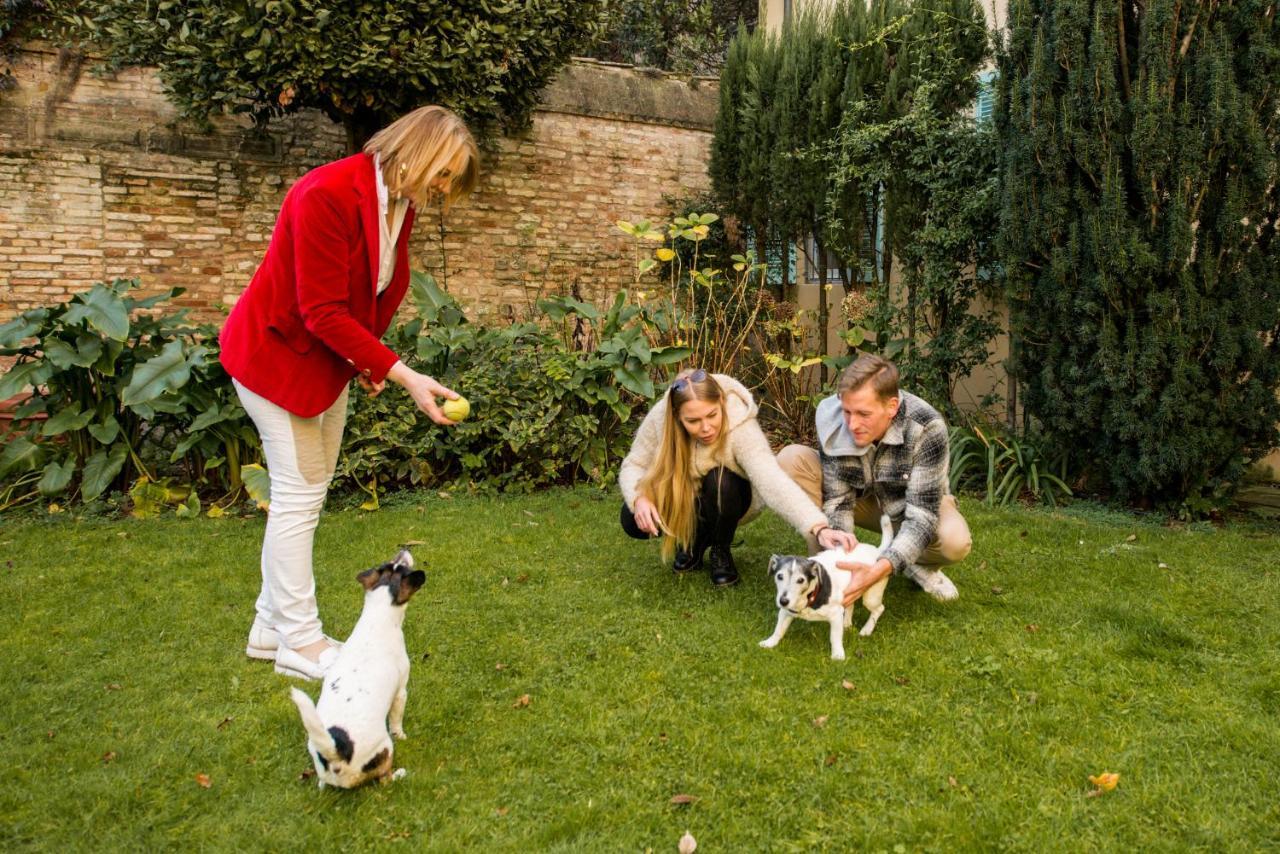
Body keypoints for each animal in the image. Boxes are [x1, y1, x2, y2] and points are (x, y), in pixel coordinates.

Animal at [290, 550, 424, 793]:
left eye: (391, 562)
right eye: (403, 566)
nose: (403, 549)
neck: (377, 618)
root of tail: (337, 753)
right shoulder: (401, 691)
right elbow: (397, 721)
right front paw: (402, 735)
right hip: (385, 749)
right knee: (384, 778)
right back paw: (399, 774)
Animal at [757, 514, 890, 660]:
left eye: (801, 580)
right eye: (779, 576)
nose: (783, 601)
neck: (809, 597)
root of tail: (877, 551)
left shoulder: (835, 614)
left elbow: (835, 637)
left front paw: (837, 655)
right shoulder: (786, 612)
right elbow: (779, 629)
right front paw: (770, 642)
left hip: (871, 595)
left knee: (879, 609)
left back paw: (867, 629)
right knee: (851, 605)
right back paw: (847, 623)